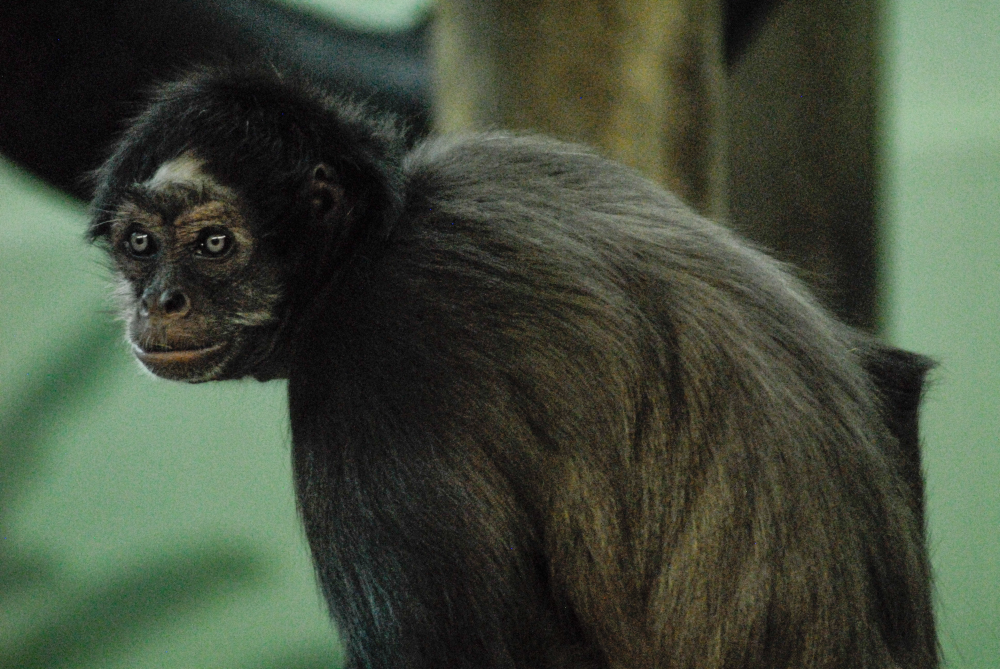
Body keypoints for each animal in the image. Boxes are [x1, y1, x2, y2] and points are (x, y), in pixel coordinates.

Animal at [87, 67, 937, 669]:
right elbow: (893, 374)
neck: (384, 235)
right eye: (140, 246)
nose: (160, 300)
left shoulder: (376, 358)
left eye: (213, 244)